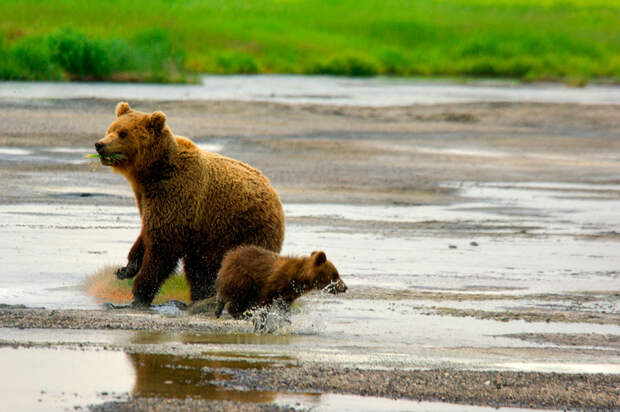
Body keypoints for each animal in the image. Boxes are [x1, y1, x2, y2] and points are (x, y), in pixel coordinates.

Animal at [94, 103, 286, 306]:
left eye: (123, 133)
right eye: (110, 129)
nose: (100, 145)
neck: (152, 173)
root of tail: (275, 195)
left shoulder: (177, 195)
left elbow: (162, 248)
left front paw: (140, 293)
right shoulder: (148, 199)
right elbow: (146, 233)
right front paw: (126, 269)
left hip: (245, 230)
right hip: (209, 239)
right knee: (199, 270)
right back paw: (201, 297)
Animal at [216, 245, 346, 318]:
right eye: (335, 275)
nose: (345, 287)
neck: (298, 278)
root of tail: (226, 259)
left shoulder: (288, 294)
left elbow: (284, 308)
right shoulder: (273, 283)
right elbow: (264, 302)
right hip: (242, 277)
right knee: (239, 297)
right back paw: (242, 314)